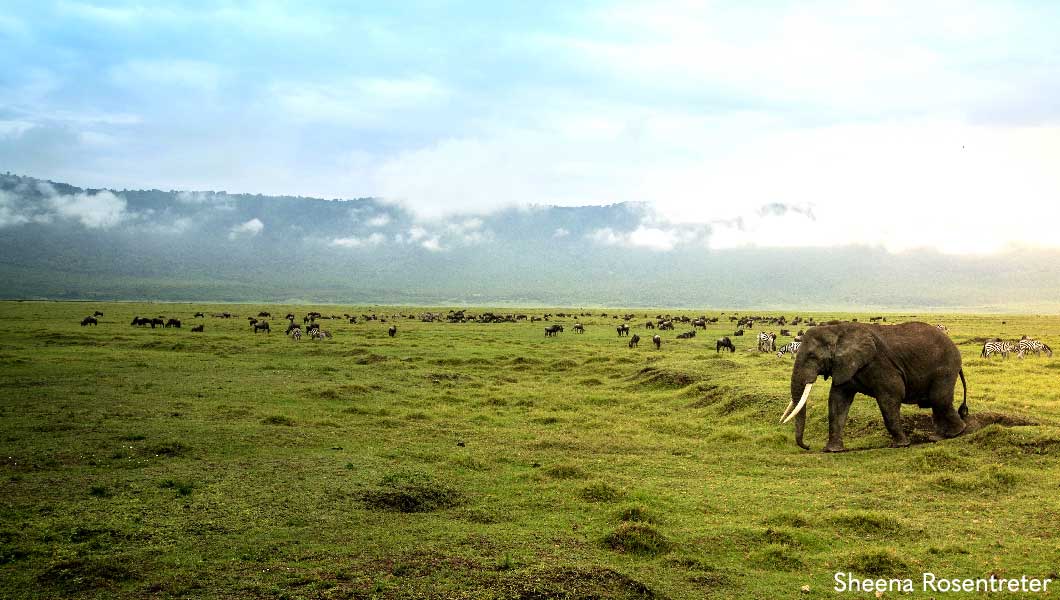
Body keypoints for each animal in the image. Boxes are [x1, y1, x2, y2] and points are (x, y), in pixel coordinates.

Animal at [780, 322, 970, 453]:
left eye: (812, 356)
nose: (808, 446)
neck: (837, 330)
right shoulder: (845, 366)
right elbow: (838, 400)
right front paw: (832, 450)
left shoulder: (880, 364)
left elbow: (891, 396)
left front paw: (900, 445)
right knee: (938, 402)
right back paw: (939, 437)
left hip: (946, 367)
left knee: (939, 399)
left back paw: (956, 432)